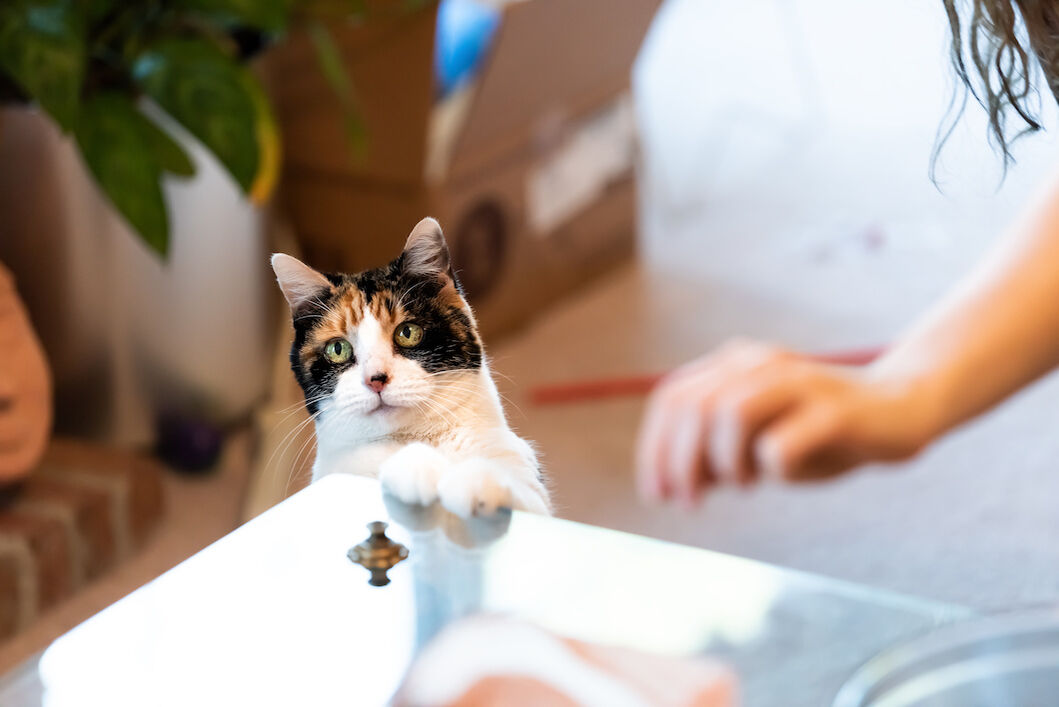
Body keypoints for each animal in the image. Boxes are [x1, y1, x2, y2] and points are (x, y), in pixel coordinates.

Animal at [273, 215, 550, 514]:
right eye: (338, 349)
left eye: (407, 332)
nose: (375, 379)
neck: (414, 437)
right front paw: (414, 467)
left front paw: (477, 481)